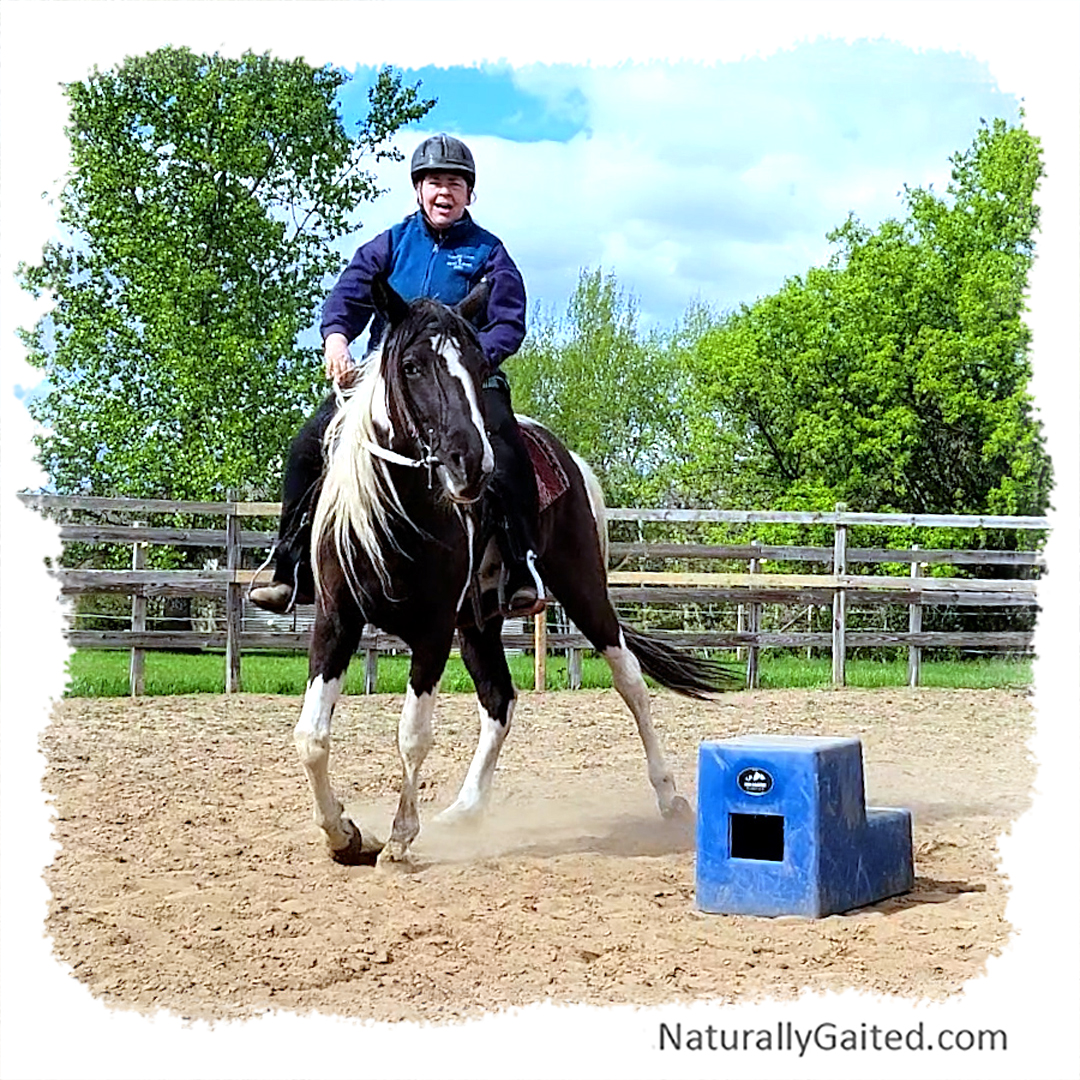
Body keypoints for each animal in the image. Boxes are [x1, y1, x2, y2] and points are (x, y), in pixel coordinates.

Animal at [294, 276, 736, 869]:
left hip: (582, 589)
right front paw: (342, 834)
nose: (469, 463)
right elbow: (312, 735)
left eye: (479, 364)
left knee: (631, 682)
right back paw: (465, 809)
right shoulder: (337, 621)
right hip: (478, 623)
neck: (399, 513)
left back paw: (669, 798)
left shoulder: (433, 631)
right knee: (500, 701)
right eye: (410, 365)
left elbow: (413, 734)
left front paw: (400, 839)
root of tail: (566, 456)